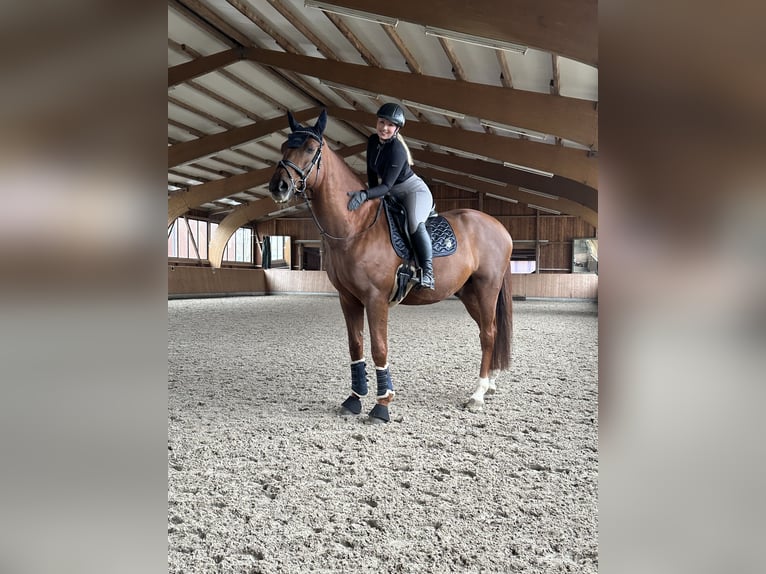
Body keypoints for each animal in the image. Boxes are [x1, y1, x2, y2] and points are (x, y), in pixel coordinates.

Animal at [270, 109, 516, 424]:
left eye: (311, 149)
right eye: (284, 146)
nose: (279, 186)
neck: (355, 226)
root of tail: (500, 227)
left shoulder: (376, 299)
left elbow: (379, 347)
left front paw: (382, 405)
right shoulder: (348, 299)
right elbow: (356, 346)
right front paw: (354, 399)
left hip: (486, 289)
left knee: (488, 334)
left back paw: (477, 395)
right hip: (470, 293)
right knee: (491, 331)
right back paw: (491, 384)